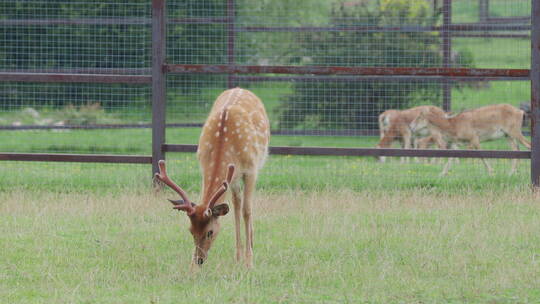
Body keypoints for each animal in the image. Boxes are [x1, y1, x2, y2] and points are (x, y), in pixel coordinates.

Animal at [155, 88, 270, 268]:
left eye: (210, 232)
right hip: (234, 179)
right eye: (191, 230)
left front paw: (249, 262)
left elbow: (247, 211)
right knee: (236, 204)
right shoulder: (205, 166)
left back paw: (249, 248)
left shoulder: (251, 170)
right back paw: (238, 255)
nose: (199, 260)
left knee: (245, 207)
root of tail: (240, 88)